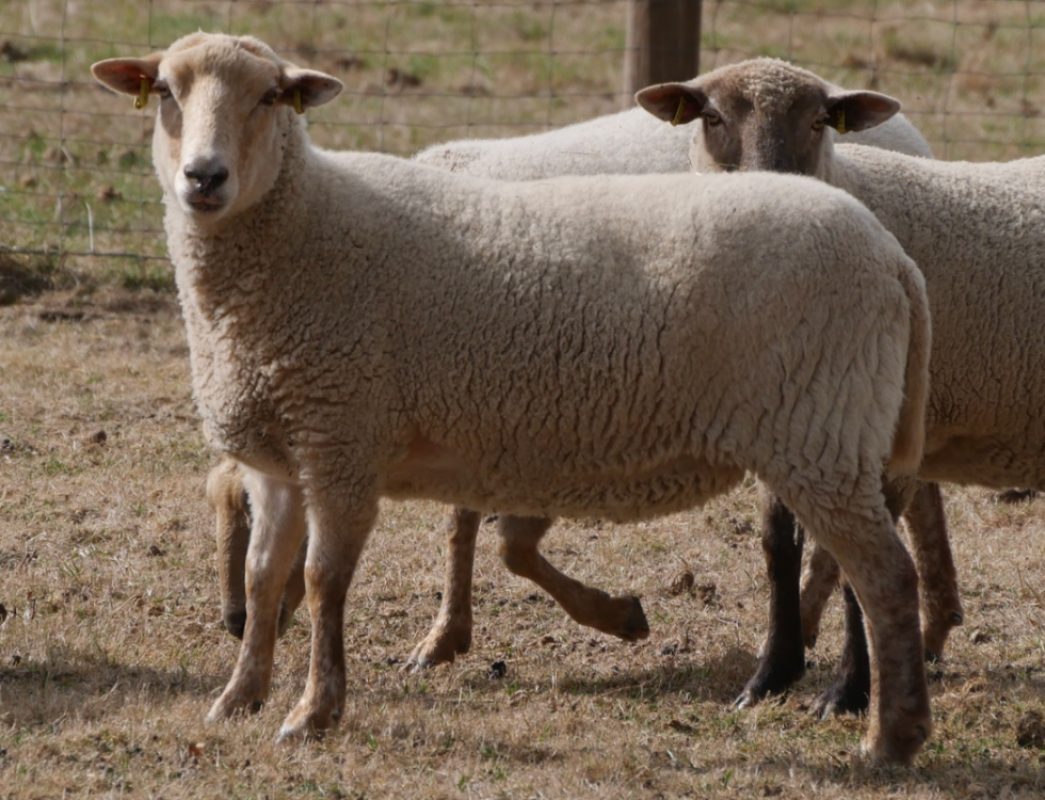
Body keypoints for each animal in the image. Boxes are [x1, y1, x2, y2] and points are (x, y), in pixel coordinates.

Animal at [636, 56, 1045, 714]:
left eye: (820, 121)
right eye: (713, 117)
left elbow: (855, 562)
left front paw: (849, 690)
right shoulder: (784, 415)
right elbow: (778, 544)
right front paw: (771, 675)